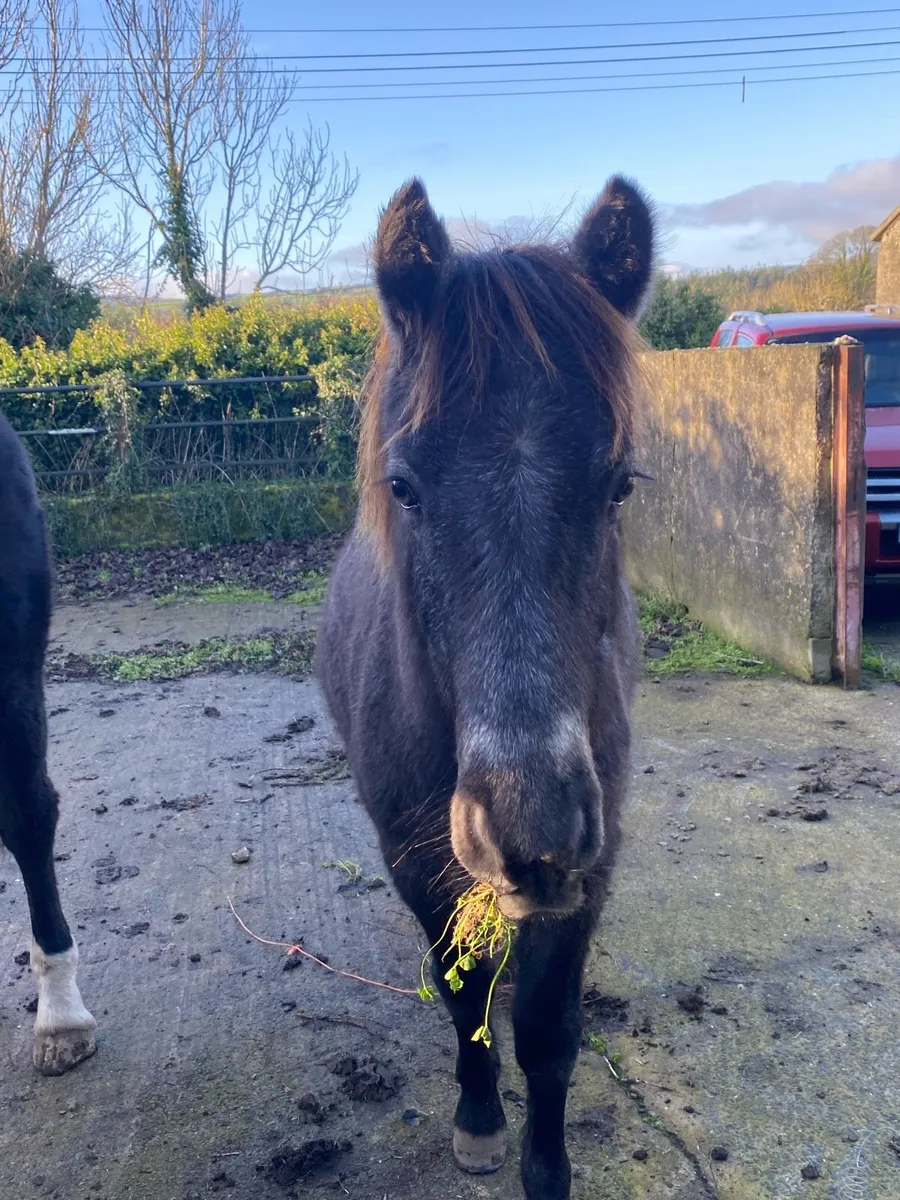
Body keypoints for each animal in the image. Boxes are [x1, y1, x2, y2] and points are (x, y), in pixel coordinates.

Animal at [317, 174, 653, 1200]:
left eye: (621, 484)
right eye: (404, 486)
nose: (528, 826)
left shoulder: (591, 867)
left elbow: (548, 1032)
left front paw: (547, 1169)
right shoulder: (415, 864)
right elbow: (463, 995)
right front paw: (476, 1120)